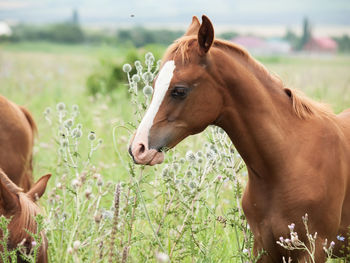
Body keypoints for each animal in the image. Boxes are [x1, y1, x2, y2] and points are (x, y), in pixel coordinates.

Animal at [130, 16, 350, 262]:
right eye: (154, 84)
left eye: (179, 90)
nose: (138, 148)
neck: (289, 160)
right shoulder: (263, 249)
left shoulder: (315, 249)